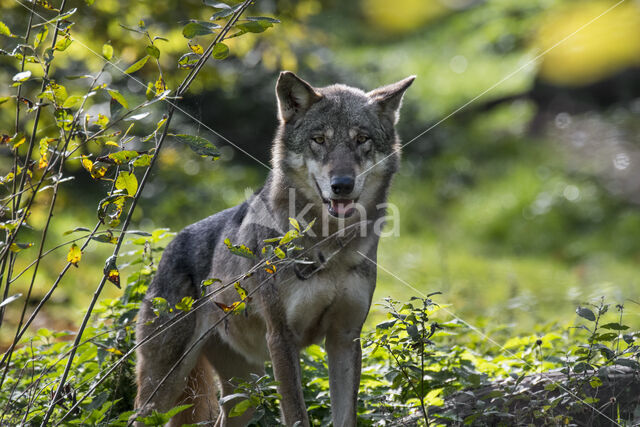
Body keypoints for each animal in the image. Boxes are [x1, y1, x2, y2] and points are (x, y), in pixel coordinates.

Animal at [135, 72, 416, 426]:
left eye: (361, 139)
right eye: (319, 140)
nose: (342, 185)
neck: (330, 245)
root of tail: (172, 242)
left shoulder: (345, 337)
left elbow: (345, 416)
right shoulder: (282, 338)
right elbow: (296, 414)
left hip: (244, 396)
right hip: (162, 392)